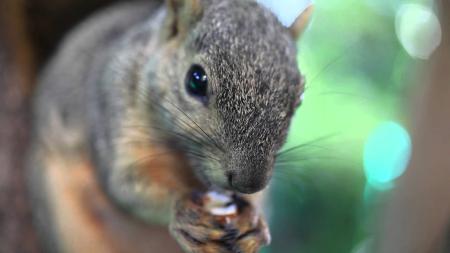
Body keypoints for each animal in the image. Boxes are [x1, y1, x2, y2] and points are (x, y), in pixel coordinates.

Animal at [26, 0, 312, 251]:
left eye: (300, 97)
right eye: (195, 80)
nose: (248, 183)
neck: (181, 158)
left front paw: (253, 220)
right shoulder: (115, 112)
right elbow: (124, 186)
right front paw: (183, 208)